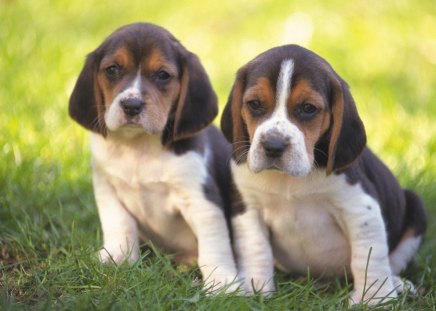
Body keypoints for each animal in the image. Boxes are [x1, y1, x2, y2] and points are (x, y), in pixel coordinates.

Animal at [69, 23, 238, 294]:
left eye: (162, 75)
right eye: (112, 70)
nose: (131, 105)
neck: (138, 146)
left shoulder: (201, 201)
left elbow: (214, 245)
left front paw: (223, 283)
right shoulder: (107, 189)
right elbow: (119, 225)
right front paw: (116, 258)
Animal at [223, 44, 428, 304]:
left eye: (308, 108)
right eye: (255, 104)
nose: (273, 145)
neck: (289, 181)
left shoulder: (361, 208)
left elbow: (368, 256)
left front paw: (373, 299)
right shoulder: (248, 207)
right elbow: (256, 249)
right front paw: (256, 290)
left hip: (416, 210)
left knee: (393, 260)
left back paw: (398, 284)